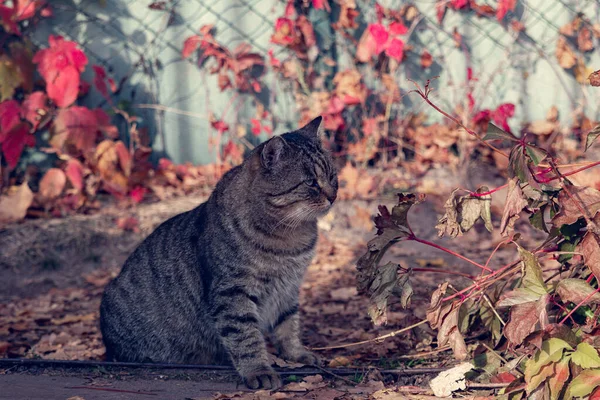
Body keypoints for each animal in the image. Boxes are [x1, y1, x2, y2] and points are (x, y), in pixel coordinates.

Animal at [101, 115, 340, 388]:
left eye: (332, 176)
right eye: (311, 182)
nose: (333, 196)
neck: (290, 238)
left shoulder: (288, 288)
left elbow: (288, 326)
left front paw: (296, 354)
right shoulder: (232, 292)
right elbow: (245, 337)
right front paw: (258, 370)